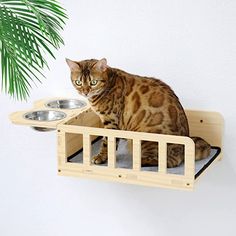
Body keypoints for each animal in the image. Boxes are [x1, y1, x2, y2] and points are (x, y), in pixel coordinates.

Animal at [66, 57, 210, 167]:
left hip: (147, 137)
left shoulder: (111, 121)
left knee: (167, 162)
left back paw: (138, 161)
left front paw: (101, 157)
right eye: (78, 82)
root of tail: (183, 149)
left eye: (93, 82)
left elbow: (107, 143)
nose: (85, 92)